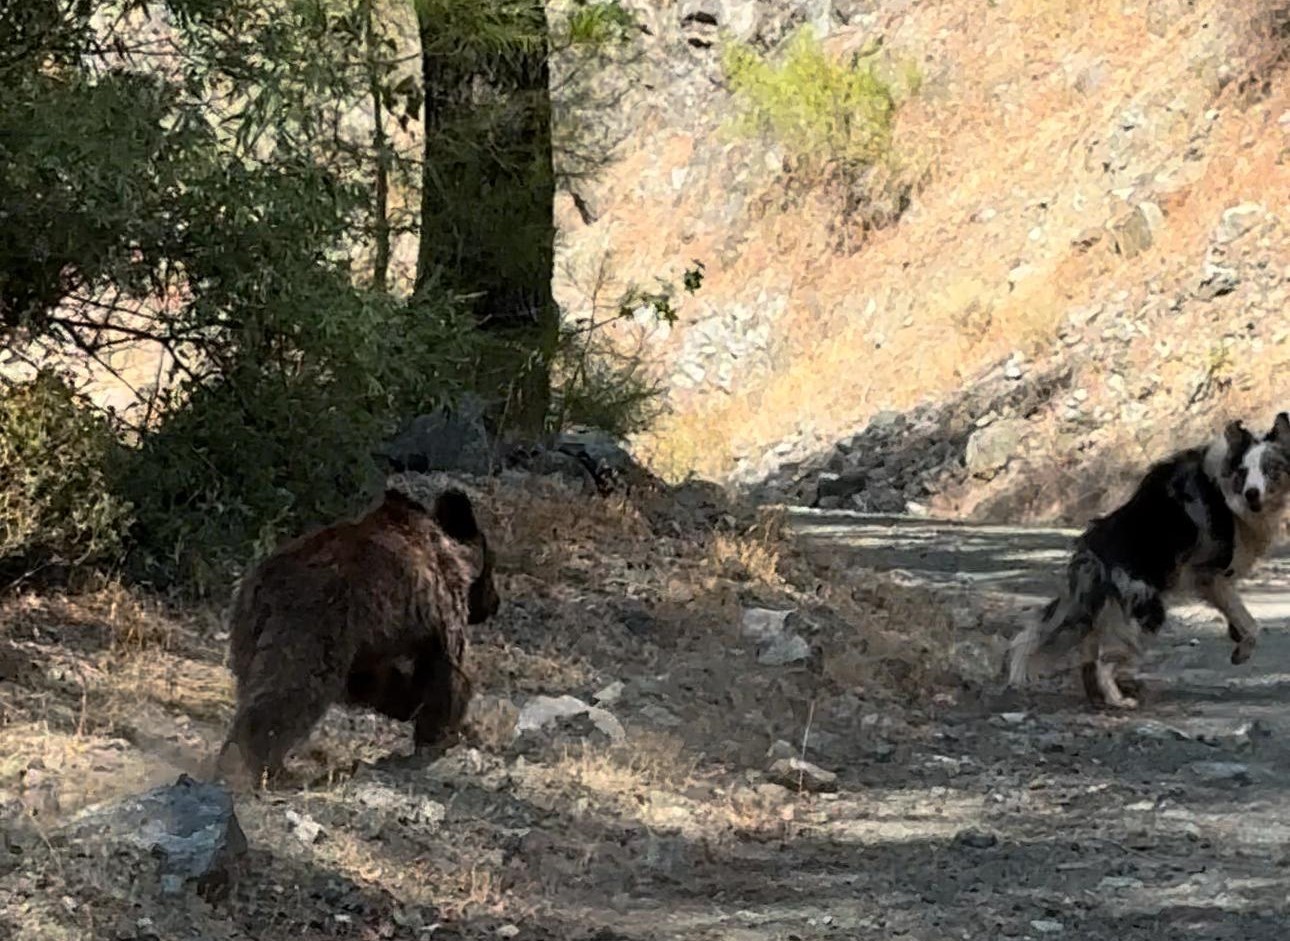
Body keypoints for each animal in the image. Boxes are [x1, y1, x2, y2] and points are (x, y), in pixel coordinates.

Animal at [1006, 410, 1290, 702]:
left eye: (1270, 470)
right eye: (1244, 472)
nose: (1252, 494)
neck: (1224, 487)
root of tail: (1091, 554)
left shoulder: (1217, 580)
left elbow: (1240, 618)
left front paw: (1236, 639)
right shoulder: (1207, 575)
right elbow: (1251, 624)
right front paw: (1242, 650)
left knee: (1087, 654)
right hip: (1147, 613)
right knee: (1104, 660)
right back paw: (1118, 700)